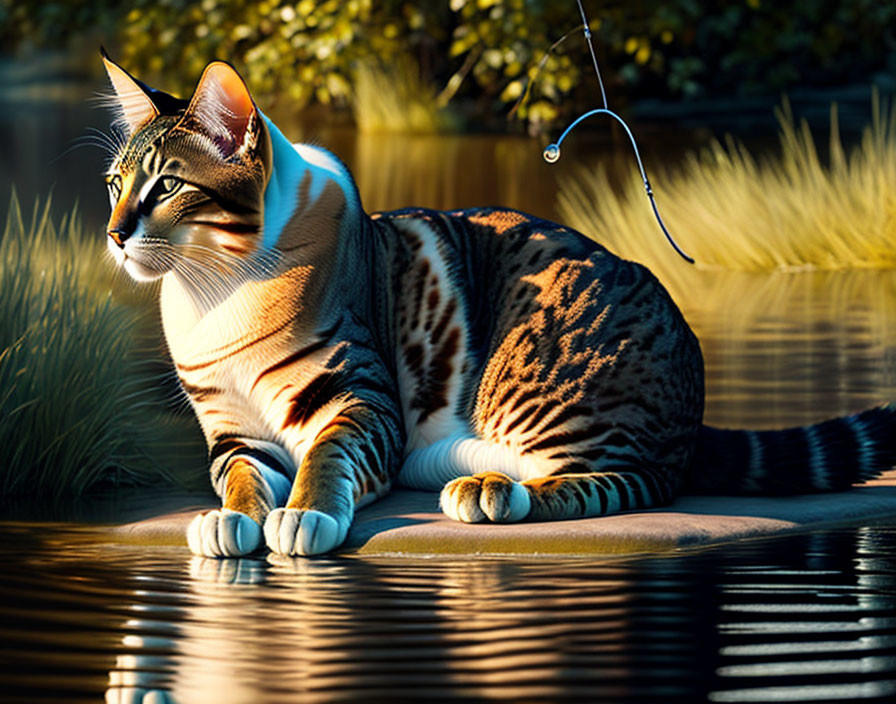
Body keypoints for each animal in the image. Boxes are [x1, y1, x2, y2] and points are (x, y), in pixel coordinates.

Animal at [100, 53, 896, 556]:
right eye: (115, 183)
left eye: (168, 186)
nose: (112, 233)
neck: (213, 292)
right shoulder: (233, 430)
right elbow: (237, 476)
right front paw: (230, 520)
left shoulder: (365, 401)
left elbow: (328, 451)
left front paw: (304, 515)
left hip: (542, 373)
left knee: (634, 479)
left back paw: (493, 493)